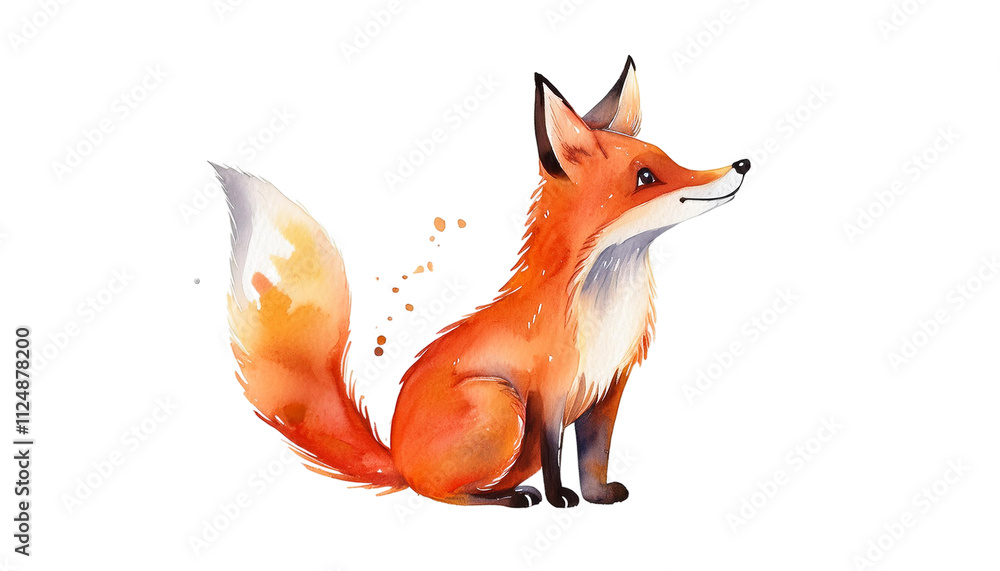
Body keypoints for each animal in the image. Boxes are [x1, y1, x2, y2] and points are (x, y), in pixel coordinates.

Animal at [218, 56, 750, 508]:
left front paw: (598, 496)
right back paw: (506, 498)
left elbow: (594, 457)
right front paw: (560, 498)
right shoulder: (549, 389)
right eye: (646, 177)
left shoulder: (608, 389)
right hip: (501, 405)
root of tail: (398, 459)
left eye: (671, 159)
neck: (606, 306)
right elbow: (557, 456)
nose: (741, 165)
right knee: (437, 494)